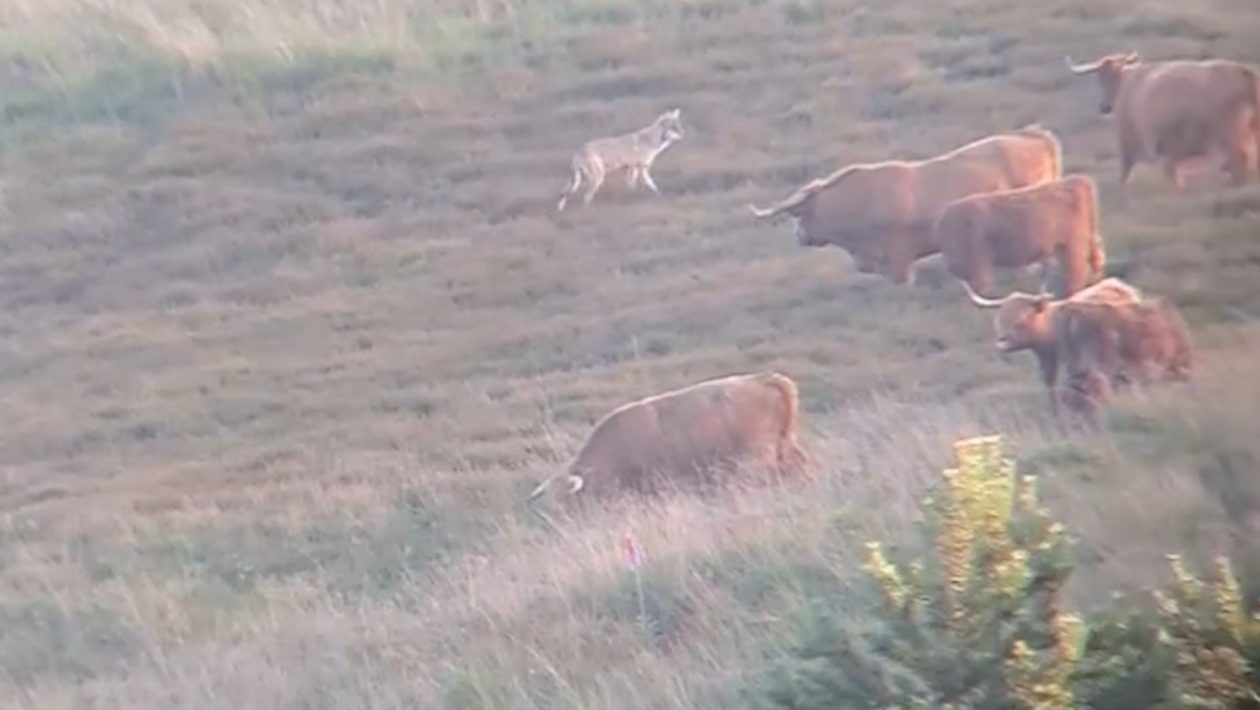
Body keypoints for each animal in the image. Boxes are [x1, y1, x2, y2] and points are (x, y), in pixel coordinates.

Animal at [556, 107, 685, 209]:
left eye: (679, 126)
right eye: (674, 128)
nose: (683, 135)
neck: (650, 140)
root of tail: (578, 151)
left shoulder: (637, 169)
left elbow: (651, 186)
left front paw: (659, 197)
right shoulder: (636, 168)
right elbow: (639, 185)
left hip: (581, 180)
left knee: (564, 193)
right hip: (596, 178)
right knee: (586, 197)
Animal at [937, 174, 1103, 298]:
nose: (949, 266)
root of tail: (1078, 180)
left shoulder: (978, 260)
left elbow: (984, 287)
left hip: (1072, 245)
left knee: (1079, 271)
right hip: (1066, 245)